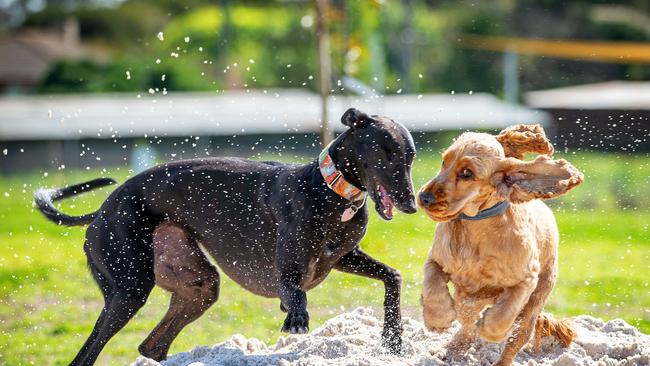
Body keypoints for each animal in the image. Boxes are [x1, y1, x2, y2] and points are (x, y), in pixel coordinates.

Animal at [35, 107, 418, 364]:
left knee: (152, 346)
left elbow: (393, 277)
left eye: (410, 156)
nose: (412, 204)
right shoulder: (288, 272)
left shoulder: (341, 257)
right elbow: (295, 296)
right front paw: (295, 317)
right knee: (86, 355)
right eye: (385, 151)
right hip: (129, 288)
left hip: (197, 285)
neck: (327, 190)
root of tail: (102, 210)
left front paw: (393, 341)